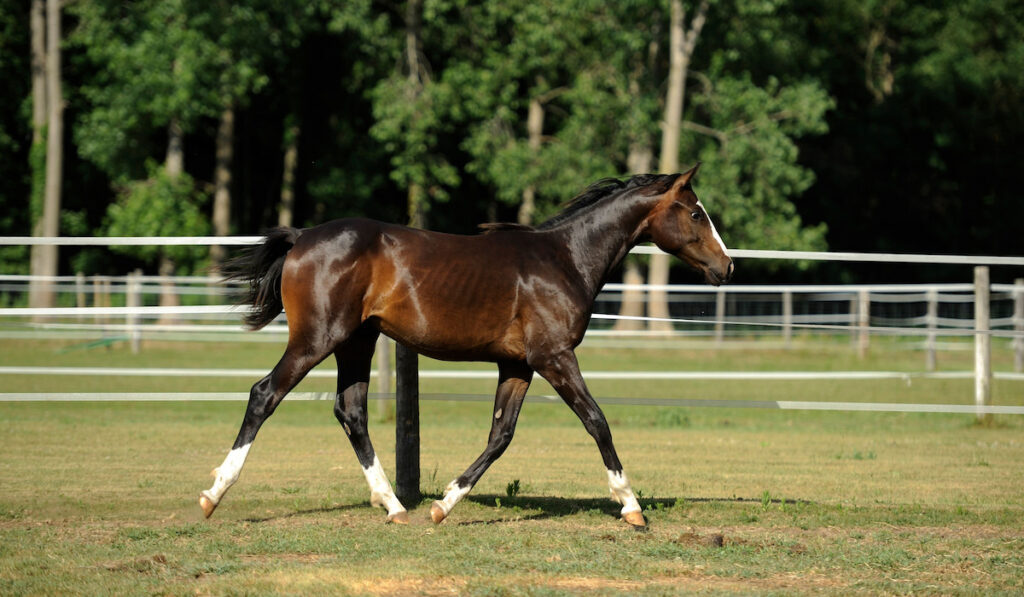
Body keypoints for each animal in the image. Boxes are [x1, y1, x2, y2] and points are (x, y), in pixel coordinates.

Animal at [197, 163, 729, 528]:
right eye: (696, 212)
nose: (727, 267)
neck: (566, 259)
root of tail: (302, 235)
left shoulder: (518, 365)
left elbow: (500, 435)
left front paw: (443, 505)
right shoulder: (555, 357)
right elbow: (596, 421)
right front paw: (631, 506)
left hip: (356, 342)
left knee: (351, 413)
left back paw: (394, 505)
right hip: (317, 338)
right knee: (265, 394)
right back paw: (213, 494)